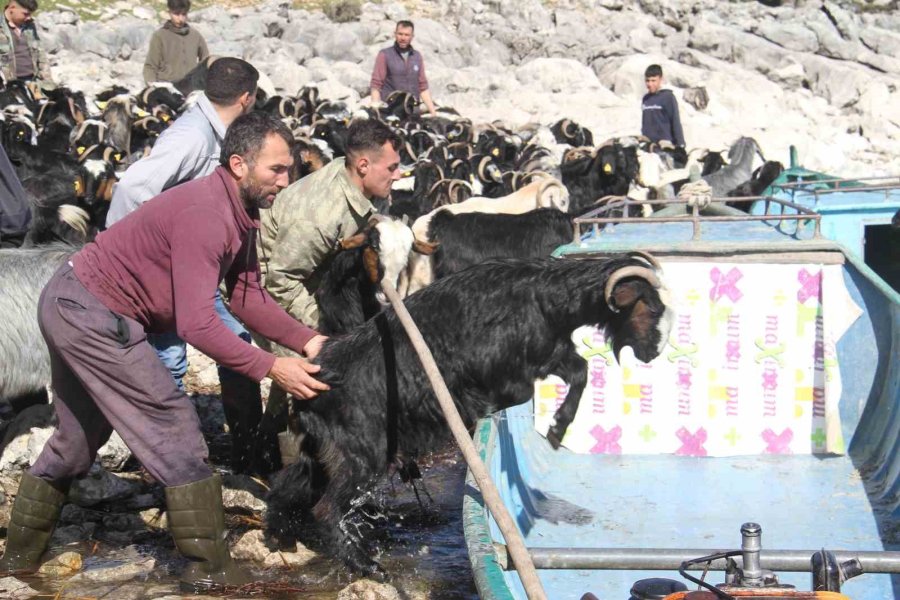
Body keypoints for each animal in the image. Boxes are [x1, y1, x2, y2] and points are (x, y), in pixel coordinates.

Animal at [264, 252, 672, 576]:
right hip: (362, 455)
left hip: (322, 454)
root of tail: (312, 388)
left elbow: (580, 371)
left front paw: (558, 428)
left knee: (288, 484)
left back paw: (277, 536)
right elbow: (538, 386)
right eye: (653, 308)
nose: (653, 351)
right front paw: (546, 427)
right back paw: (367, 565)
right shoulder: (508, 371)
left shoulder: (547, 353)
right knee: (327, 508)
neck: (544, 296)